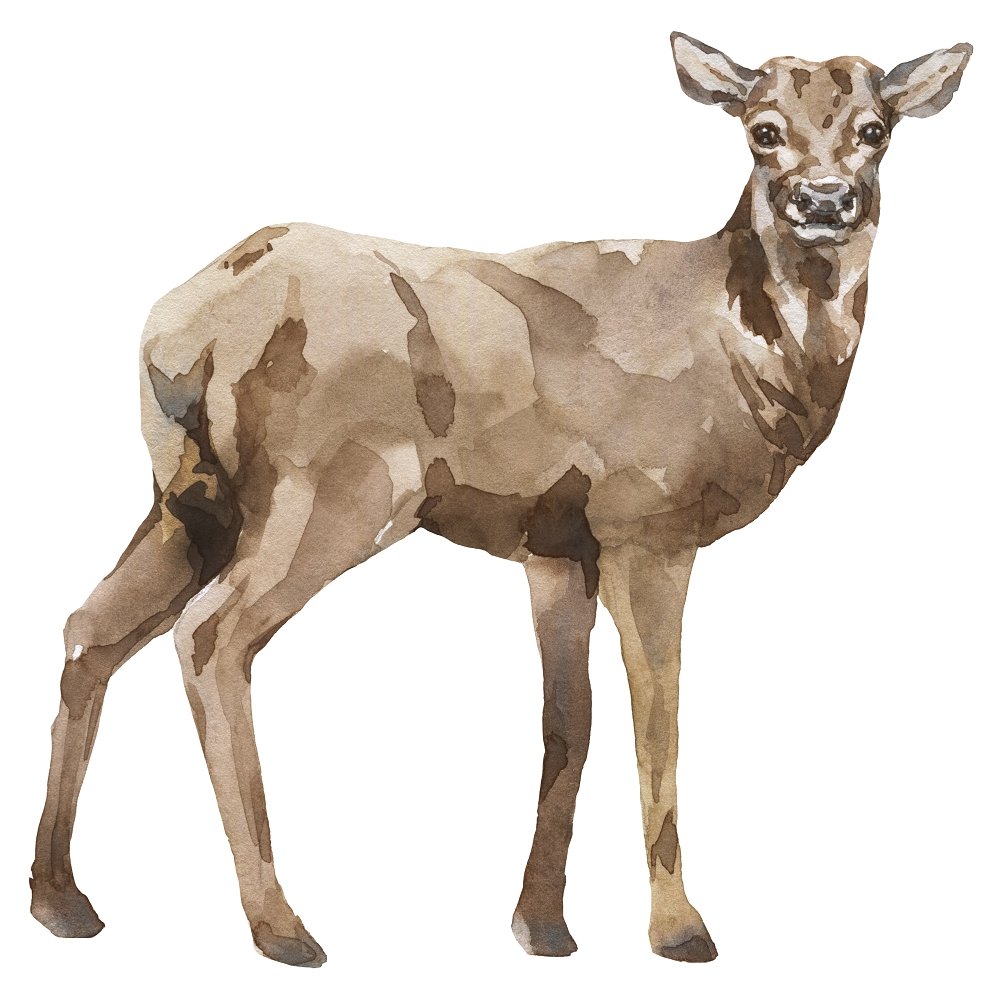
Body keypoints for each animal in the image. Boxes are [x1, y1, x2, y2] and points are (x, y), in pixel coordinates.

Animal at [31, 31, 972, 967]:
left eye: (876, 128)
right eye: (763, 129)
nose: (826, 198)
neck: (745, 360)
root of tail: (182, 330)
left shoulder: (555, 544)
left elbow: (567, 723)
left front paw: (542, 925)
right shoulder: (647, 520)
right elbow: (656, 716)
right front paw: (679, 929)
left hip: (188, 496)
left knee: (90, 626)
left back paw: (62, 899)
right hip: (331, 487)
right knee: (210, 635)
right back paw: (281, 925)